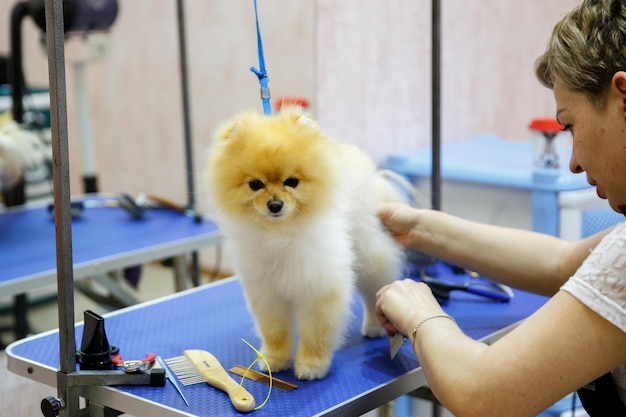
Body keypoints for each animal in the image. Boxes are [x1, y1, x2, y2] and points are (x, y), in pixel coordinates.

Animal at [205, 105, 408, 378]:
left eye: (292, 182)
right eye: (255, 185)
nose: (275, 204)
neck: (280, 235)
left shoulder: (318, 290)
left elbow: (316, 333)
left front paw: (312, 365)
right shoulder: (266, 294)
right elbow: (275, 331)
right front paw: (274, 359)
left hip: (368, 256)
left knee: (374, 292)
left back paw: (374, 325)